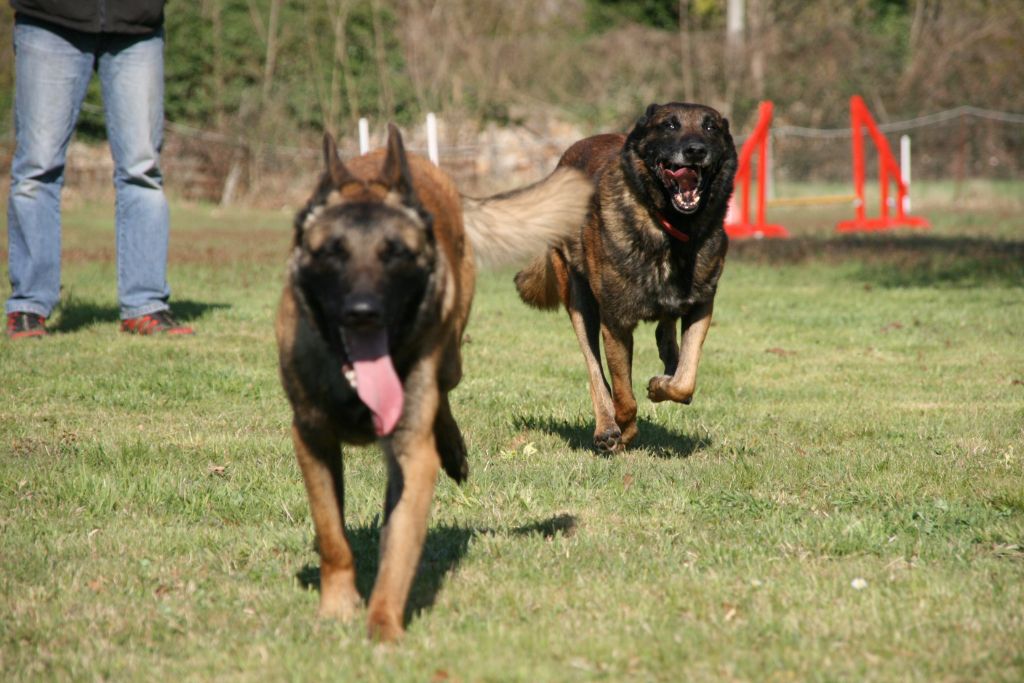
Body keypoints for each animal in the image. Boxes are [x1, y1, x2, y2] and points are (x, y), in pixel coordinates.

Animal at [275, 124, 591, 641]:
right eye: (332, 254)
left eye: (395, 255)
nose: (363, 313)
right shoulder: (312, 440)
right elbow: (332, 536)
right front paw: (337, 609)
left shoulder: (412, 457)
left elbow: (398, 550)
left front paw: (383, 628)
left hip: (451, 353)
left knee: (444, 392)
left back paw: (455, 451)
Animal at [514, 102, 737, 452]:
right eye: (670, 125)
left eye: (710, 127)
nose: (695, 151)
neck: (669, 228)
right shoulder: (616, 324)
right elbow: (623, 394)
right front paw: (626, 429)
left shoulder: (701, 306)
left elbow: (685, 380)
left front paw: (662, 385)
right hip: (580, 304)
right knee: (594, 369)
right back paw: (607, 427)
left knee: (666, 334)